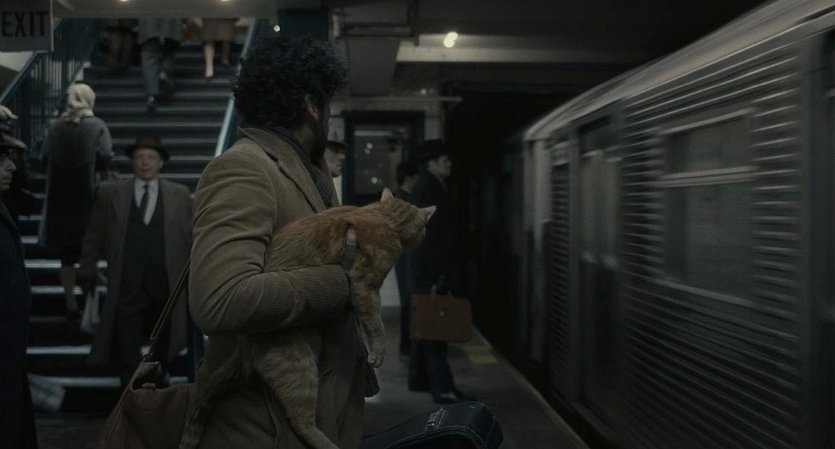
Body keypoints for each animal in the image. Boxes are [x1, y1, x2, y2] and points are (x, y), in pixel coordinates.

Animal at [180, 188, 435, 449]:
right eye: (425, 228)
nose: (426, 236)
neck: (383, 216)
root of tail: (243, 345)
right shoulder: (366, 285)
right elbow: (376, 325)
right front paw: (378, 353)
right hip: (300, 366)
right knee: (300, 420)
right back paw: (328, 444)